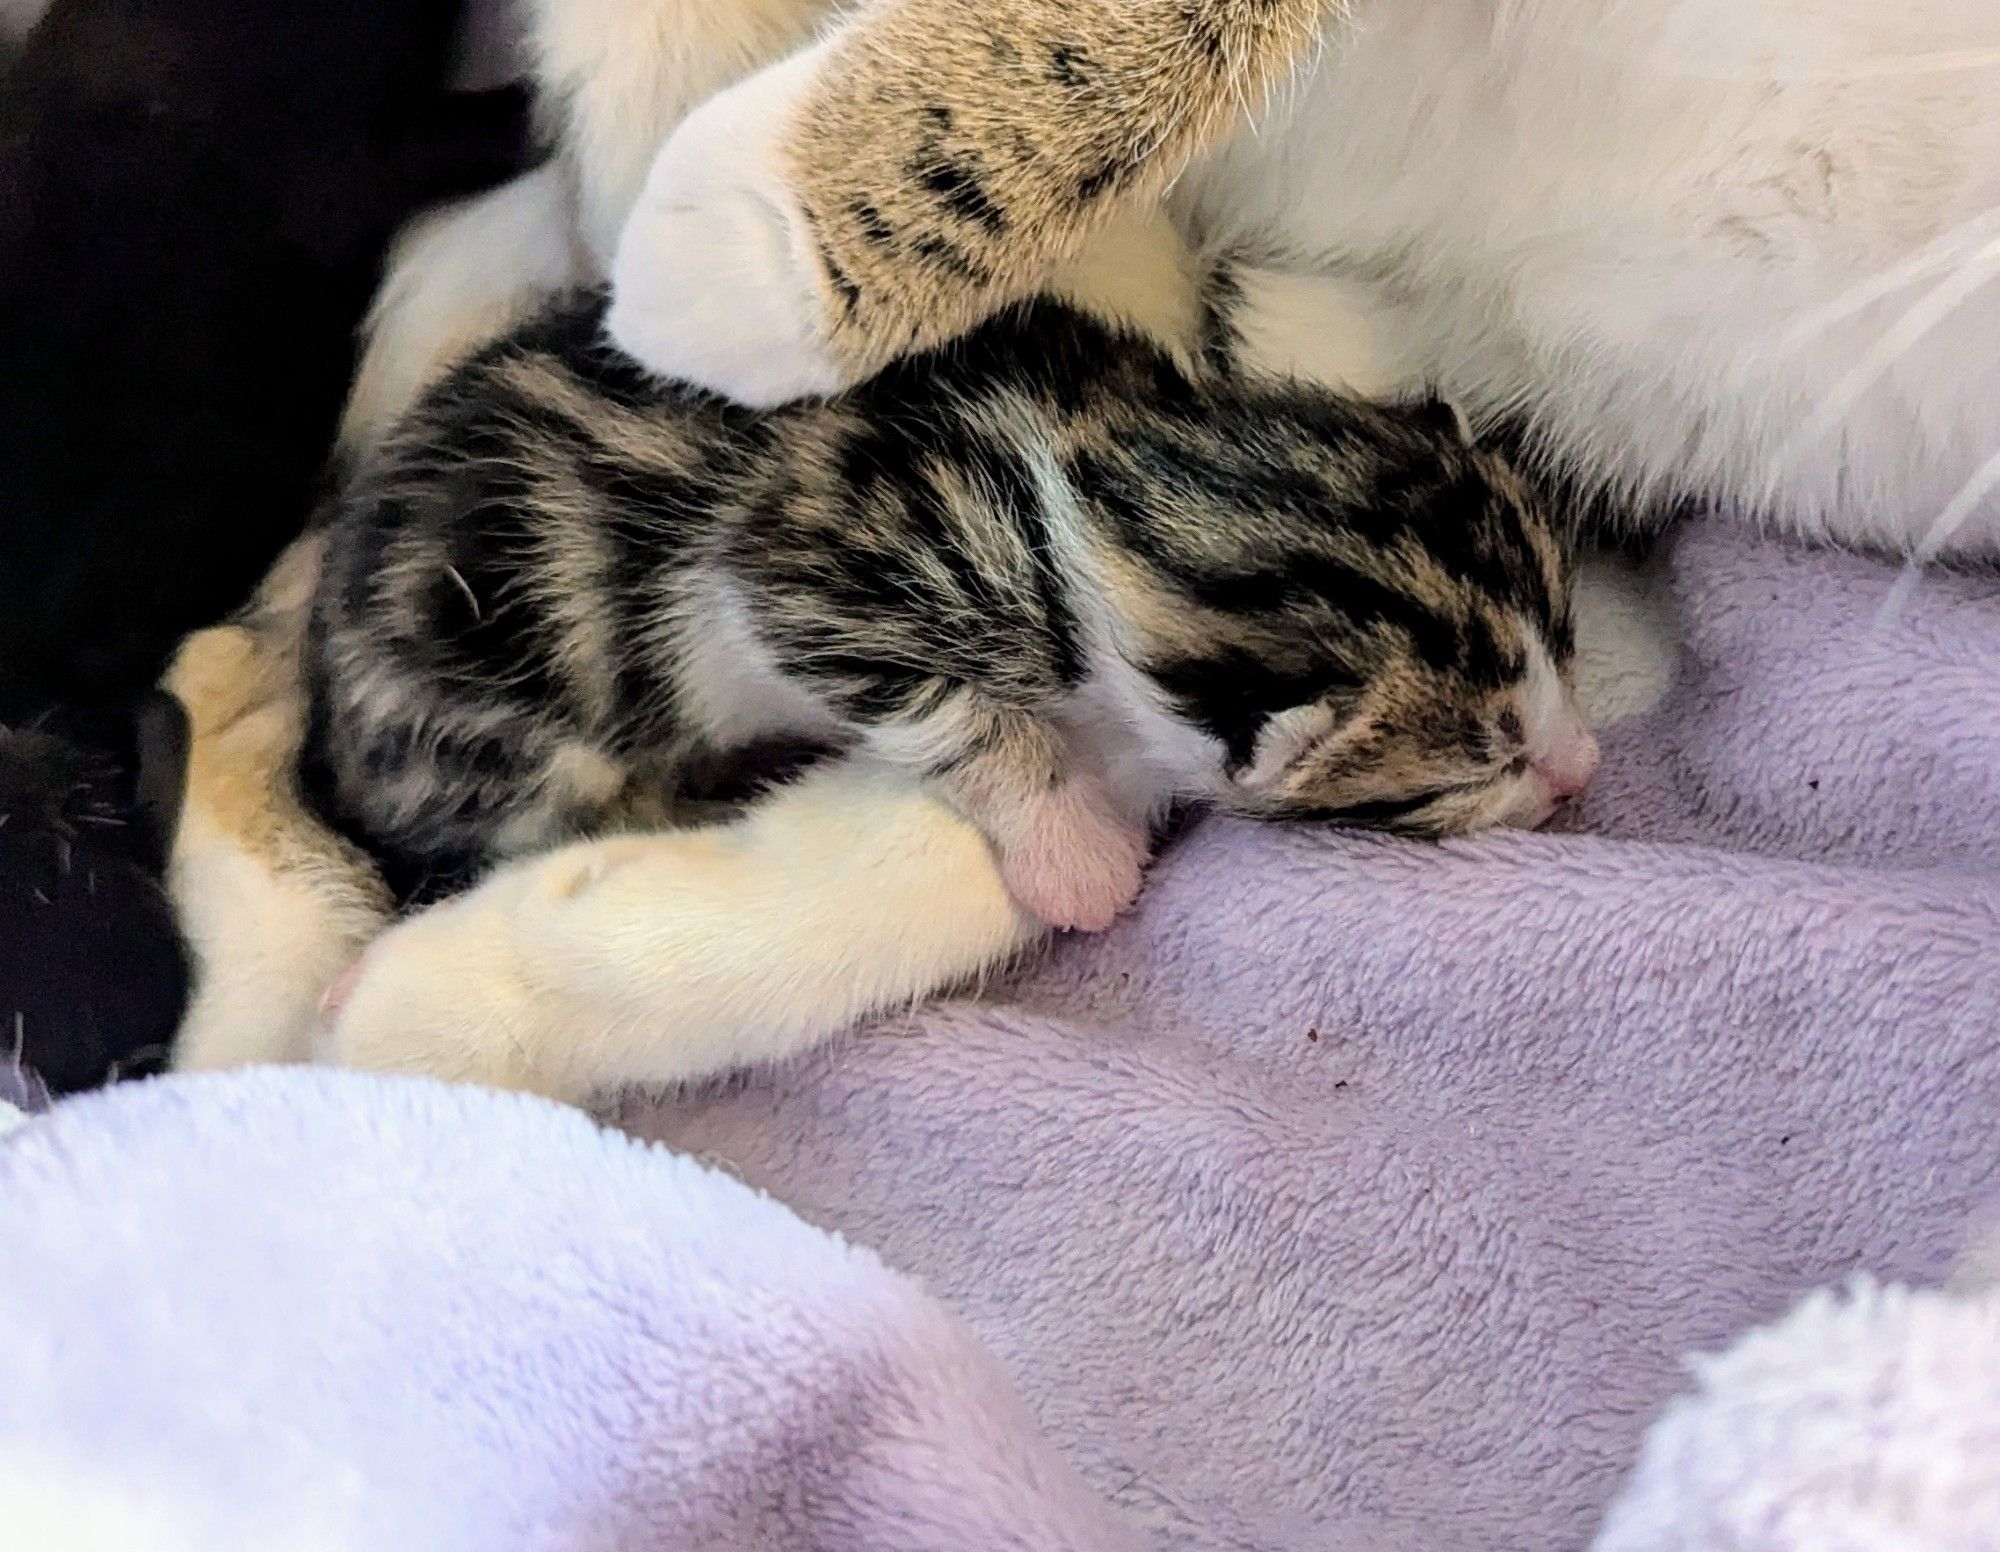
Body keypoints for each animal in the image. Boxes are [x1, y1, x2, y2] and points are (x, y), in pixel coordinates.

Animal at [308, 292, 1592, 932]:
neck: (1110, 470)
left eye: (1567, 652)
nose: (1580, 769)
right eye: (1481, 763)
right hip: (508, 741)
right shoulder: (813, 562)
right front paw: (1072, 850)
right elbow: (955, 708)